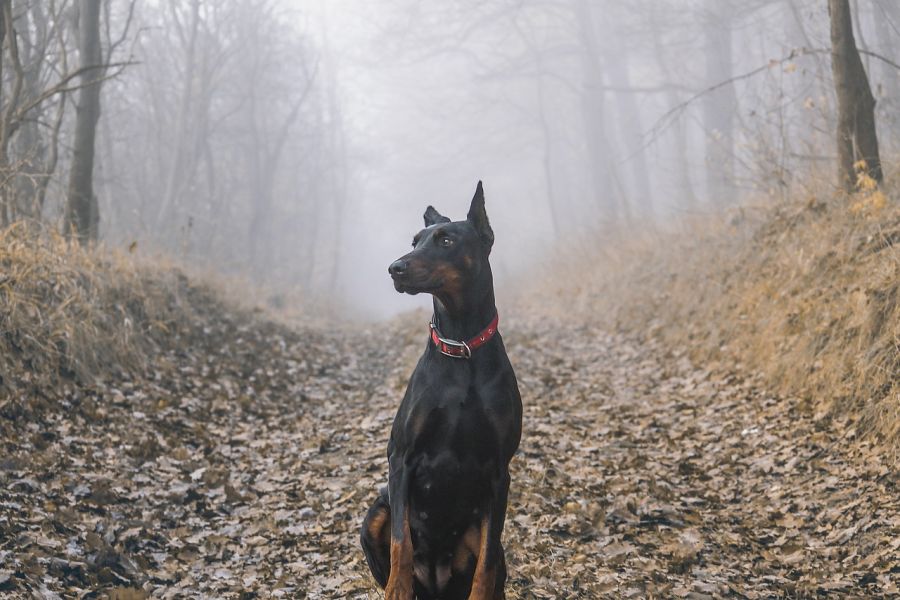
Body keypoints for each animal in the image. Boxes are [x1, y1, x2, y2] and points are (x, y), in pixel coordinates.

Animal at [362, 183, 524, 600]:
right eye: (415, 241)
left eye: (446, 240)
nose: (395, 268)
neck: (461, 344)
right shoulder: (401, 458)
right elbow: (401, 543)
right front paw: (396, 590)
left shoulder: (499, 472)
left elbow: (486, 564)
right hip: (376, 511)